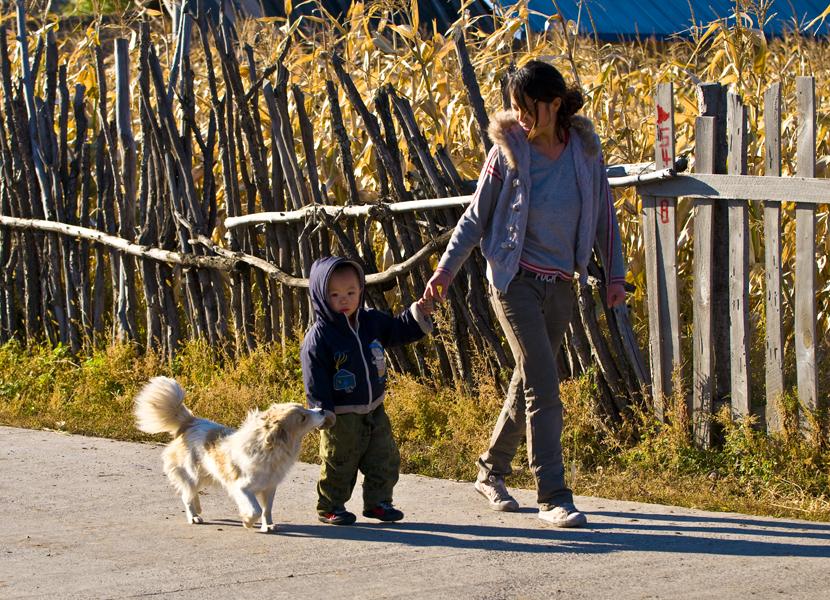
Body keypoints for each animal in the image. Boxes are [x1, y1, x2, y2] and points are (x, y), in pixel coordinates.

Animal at [134, 378, 324, 532]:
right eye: (303, 417)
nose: (322, 410)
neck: (269, 448)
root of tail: (190, 422)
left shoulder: (270, 487)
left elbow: (267, 510)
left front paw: (268, 525)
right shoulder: (241, 487)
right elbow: (256, 509)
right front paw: (247, 521)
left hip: (204, 474)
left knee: (191, 493)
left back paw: (198, 508)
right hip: (192, 473)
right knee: (186, 495)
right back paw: (194, 516)